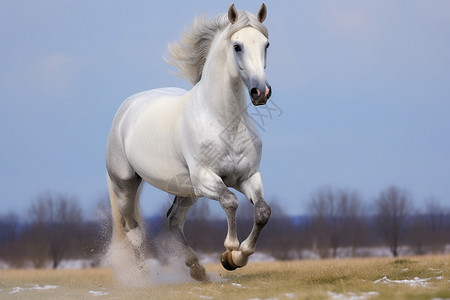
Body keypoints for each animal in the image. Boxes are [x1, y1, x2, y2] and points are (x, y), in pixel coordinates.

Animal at [106, 4, 270, 282]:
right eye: (237, 46)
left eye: (266, 44)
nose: (261, 92)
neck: (223, 120)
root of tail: (125, 109)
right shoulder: (206, 178)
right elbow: (230, 202)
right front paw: (229, 252)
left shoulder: (248, 176)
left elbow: (262, 211)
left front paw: (239, 257)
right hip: (125, 186)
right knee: (132, 228)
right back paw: (143, 276)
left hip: (185, 191)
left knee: (173, 220)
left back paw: (196, 268)